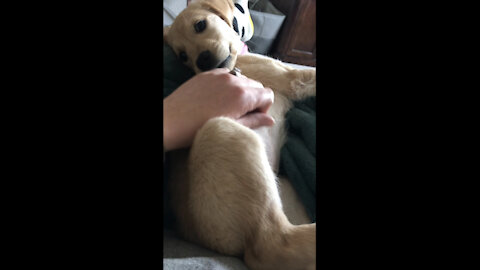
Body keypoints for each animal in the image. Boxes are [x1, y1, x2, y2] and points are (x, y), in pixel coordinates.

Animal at [163, 1, 316, 268]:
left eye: (200, 25)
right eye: (182, 56)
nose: (203, 61)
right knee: (274, 243)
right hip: (220, 130)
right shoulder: (293, 77)